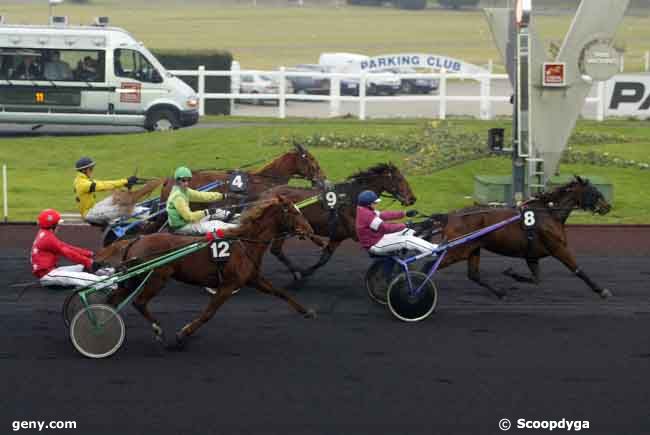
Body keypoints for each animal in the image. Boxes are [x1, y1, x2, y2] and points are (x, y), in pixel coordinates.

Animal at [98, 196, 316, 352]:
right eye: (293, 212)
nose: (310, 229)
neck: (245, 243)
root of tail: (136, 240)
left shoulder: (253, 279)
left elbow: (281, 293)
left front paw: (307, 312)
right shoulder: (228, 285)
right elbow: (208, 313)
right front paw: (182, 335)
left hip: (133, 280)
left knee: (113, 300)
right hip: (155, 279)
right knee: (139, 302)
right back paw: (157, 330)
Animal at [258, 164, 416, 280]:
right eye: (400, 179)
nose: (412, 199)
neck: (352, 198)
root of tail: (268, 193)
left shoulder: (338, 235)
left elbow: (324, 258)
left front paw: (306, 272)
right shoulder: (355, 233)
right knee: (275, 249)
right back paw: (294, 272)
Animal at [422, 177, 612, 300]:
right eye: (594, 191)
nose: (607, 207)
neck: (549, 213)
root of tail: (450, 216)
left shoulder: (532, 255)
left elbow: (536, 279)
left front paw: (512, 274)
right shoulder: (558, 248)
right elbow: (578, 270)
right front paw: (601, 290)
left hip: (473, 248)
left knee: (474, 275)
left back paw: (500, 292)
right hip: (458, 249)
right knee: (429, 266)